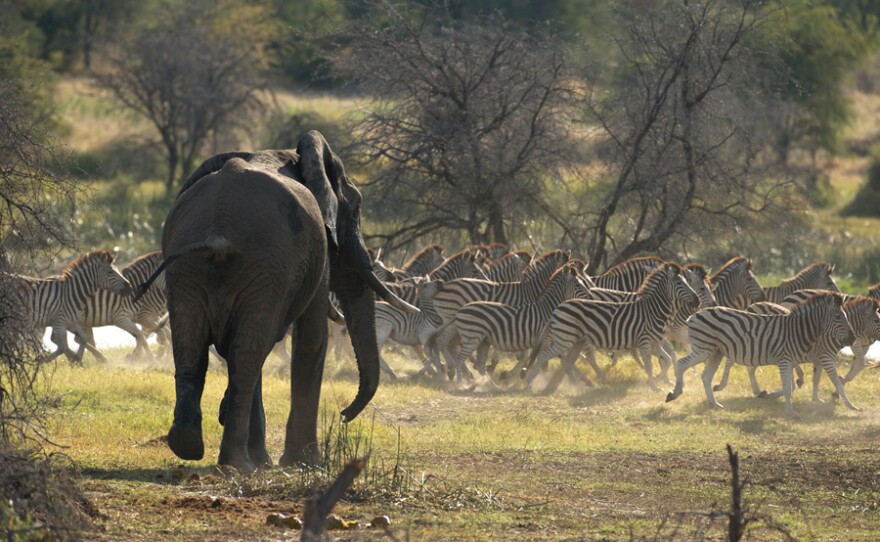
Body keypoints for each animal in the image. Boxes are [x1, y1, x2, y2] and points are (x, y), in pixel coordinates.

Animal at [134, 130, 416, 474]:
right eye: (357, 208)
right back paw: (238, 465)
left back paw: (190, 447)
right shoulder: (316, 250)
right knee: (247, 353)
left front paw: (269, 460)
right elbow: (312, 338)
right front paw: (305, 464)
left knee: (198, 346)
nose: (344, 416)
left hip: (190, 268)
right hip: (265, 265)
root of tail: (219, 232)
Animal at [524, 262, 700, 394]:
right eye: (679, 283)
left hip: (576, 341)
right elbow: (651, 365)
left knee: (566, 363)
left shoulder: (654, 343)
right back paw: (529, 382)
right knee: (544, 356)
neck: (653, 310)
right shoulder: (644, 342)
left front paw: (659, 379)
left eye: (686, 282)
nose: (697, 301)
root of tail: (558, 307)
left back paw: (577, 387)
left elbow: (668, 359)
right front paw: (654, 386)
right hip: (565, 339)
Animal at [668, 292, 852, 418]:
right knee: (682, 364)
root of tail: (695, 315)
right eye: (837, 316)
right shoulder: (785, 361)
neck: (796, 330)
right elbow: (788, 389)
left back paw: (714, 403)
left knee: (706, 377)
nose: (851, 338)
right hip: (703, 349)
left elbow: (791, 386)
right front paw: (791, 414)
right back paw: (675, 392)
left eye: (845, 316)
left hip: (715, 352)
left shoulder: (791, 361)